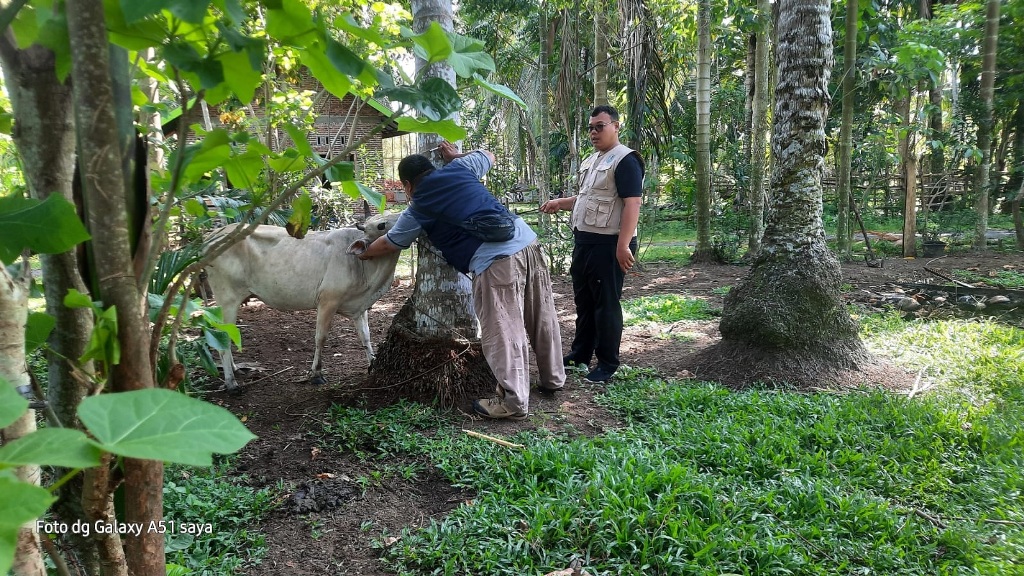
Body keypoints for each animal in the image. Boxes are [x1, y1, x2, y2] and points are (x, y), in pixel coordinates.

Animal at [202, 211, 399, 389]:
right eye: (381, 225)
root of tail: (211, 236)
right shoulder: (328, 301)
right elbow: (321, 338)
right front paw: (316, 374)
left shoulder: (359, 308)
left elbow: (365, 336)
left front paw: (372, 363)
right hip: (226, 298)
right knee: (223, 335)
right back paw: (231, 383)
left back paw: (235, 369)